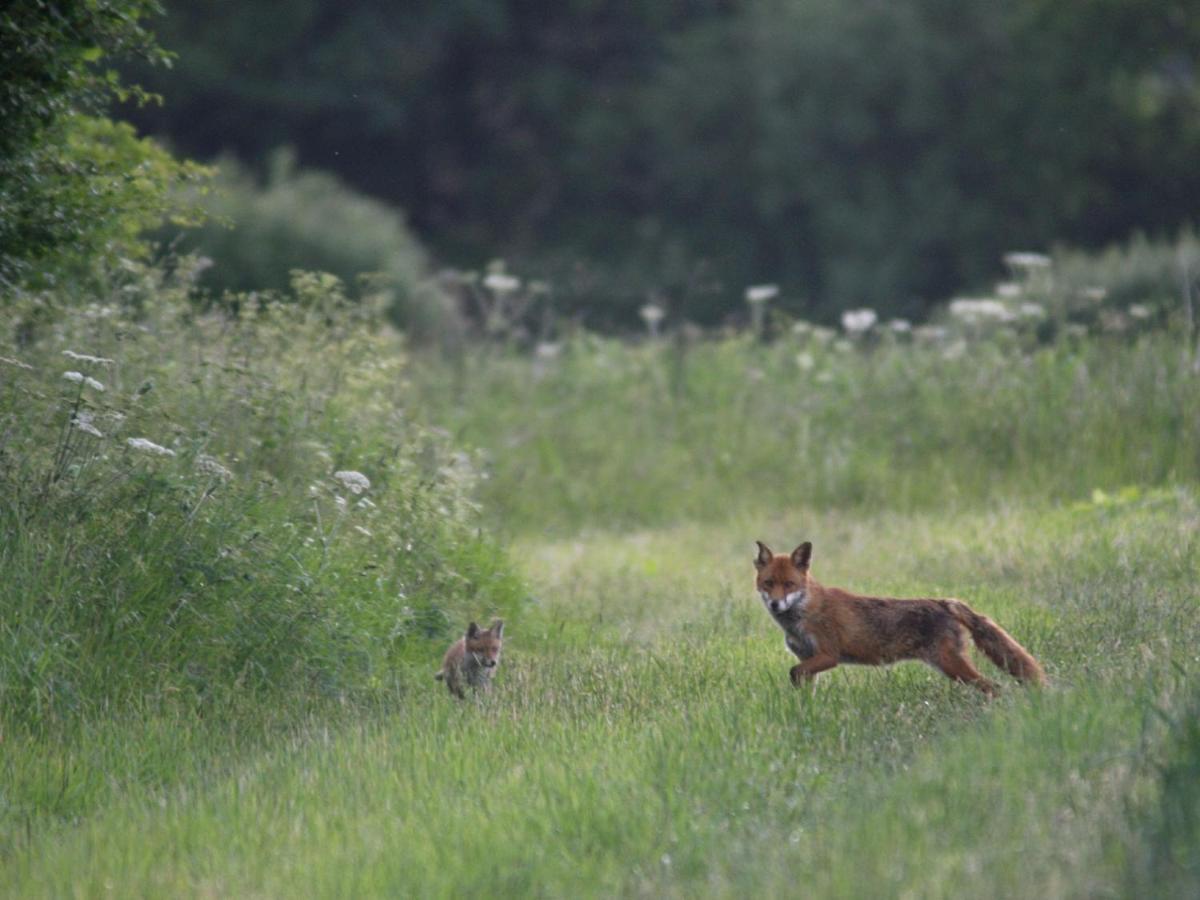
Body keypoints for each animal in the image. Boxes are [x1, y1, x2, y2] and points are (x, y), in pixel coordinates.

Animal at [753, 542, 1046, 696]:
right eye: (768, 583)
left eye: (789, 585)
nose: (776, 604)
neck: (803, 613)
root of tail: (944, 602)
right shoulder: (807, 659)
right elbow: (801, 682)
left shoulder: (828, 655)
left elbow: (793, 671)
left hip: (952, 666)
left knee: (994, 687)